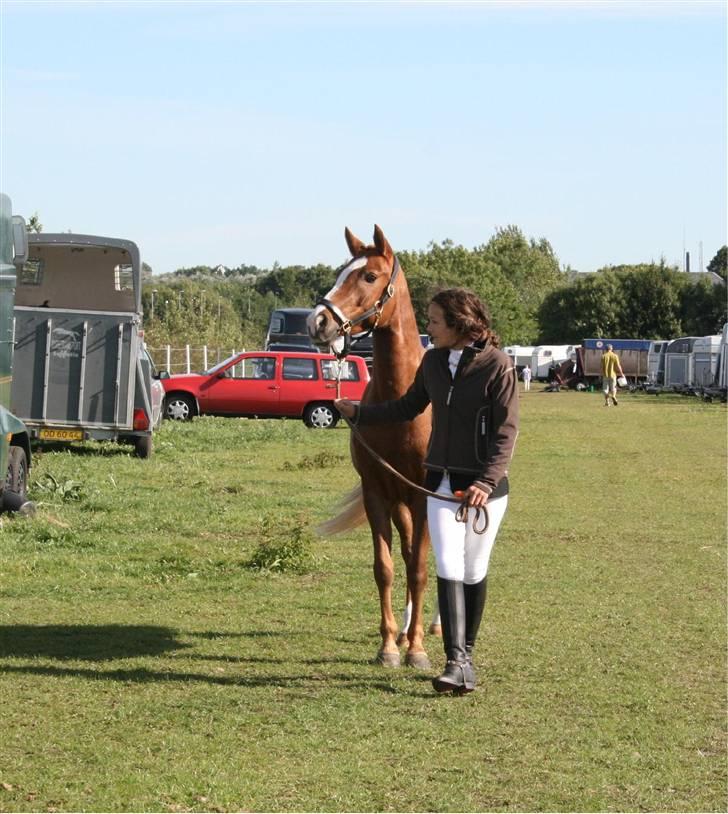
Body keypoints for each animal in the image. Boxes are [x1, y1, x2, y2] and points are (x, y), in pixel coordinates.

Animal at [307, 225, 433, 669]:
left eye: (369, 276)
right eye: (341, 271)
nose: (317, 321)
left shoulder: (423, 495)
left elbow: (420, 569)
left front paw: (417, 650)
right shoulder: (379, 492)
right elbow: (387, 568)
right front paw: (391, 646)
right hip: (400, 505)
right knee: (409, 551)